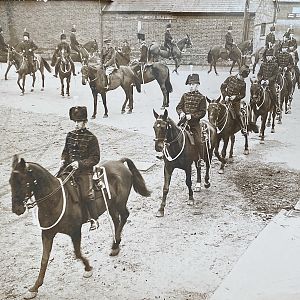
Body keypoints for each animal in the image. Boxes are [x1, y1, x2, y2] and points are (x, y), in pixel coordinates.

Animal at [9, 156, 151, 298]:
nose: (16, 209)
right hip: (110, 205)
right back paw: (115, 245)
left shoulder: (75, 231)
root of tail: (119, 162)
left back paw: (115, 245)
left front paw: (88, 268)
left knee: (124, 216)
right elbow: (44, 260)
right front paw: (34, 288)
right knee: (116, 220)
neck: (56, 199)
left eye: (22, 181)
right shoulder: (47, 234)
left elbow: (77, 253)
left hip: (119, 203)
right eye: (10, 182)